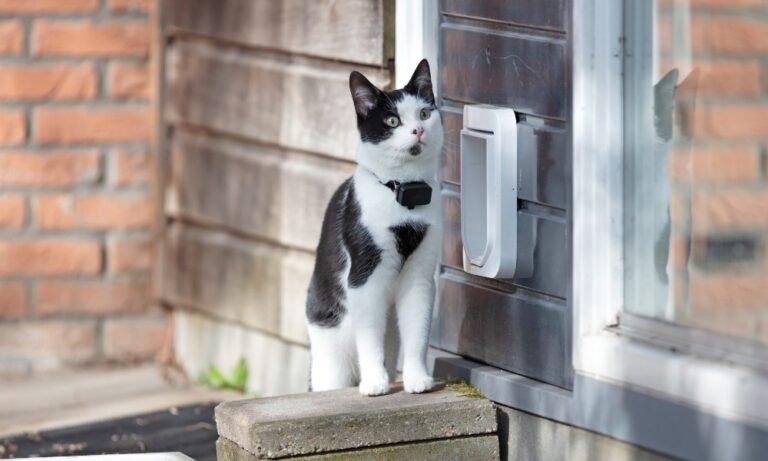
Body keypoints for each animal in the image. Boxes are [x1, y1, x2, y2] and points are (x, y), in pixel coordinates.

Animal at [304, 58, 440, 396]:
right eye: (392, 120)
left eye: (424, 113)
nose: (418, 129)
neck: (404, 193)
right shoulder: (364, 276)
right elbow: (369, 336)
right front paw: (375, 383)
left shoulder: (420, 275)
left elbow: (418, 329)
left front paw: (417, 379)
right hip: (330, 353)